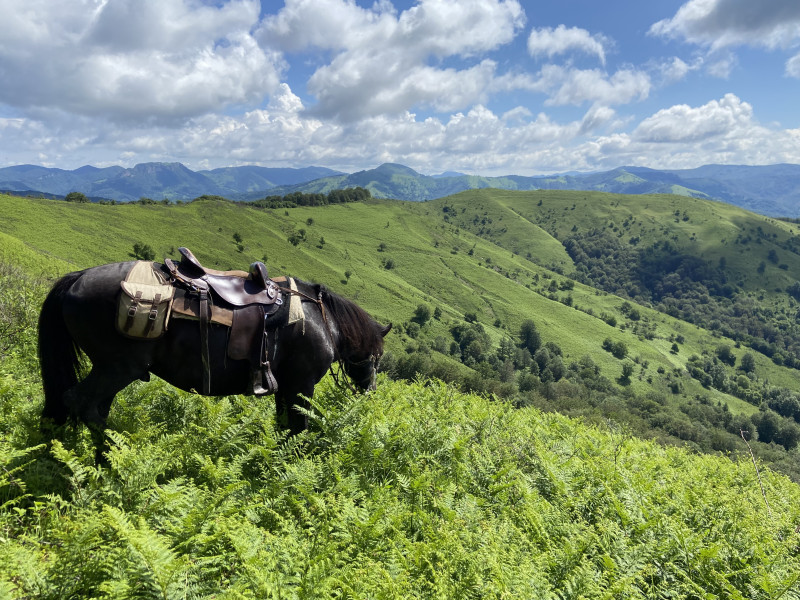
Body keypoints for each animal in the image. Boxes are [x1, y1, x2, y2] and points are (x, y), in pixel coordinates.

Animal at [39, 258, 392, 460]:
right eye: (377, 358)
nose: (372, 390)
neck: (321, 319)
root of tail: (77, 277)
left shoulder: (285, 388)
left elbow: (283, 429)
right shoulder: (301, 387)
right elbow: (299, 429)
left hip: (109, 370)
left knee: (92, 408)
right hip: (117, 367)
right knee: (82, 403)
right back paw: (114, 456)